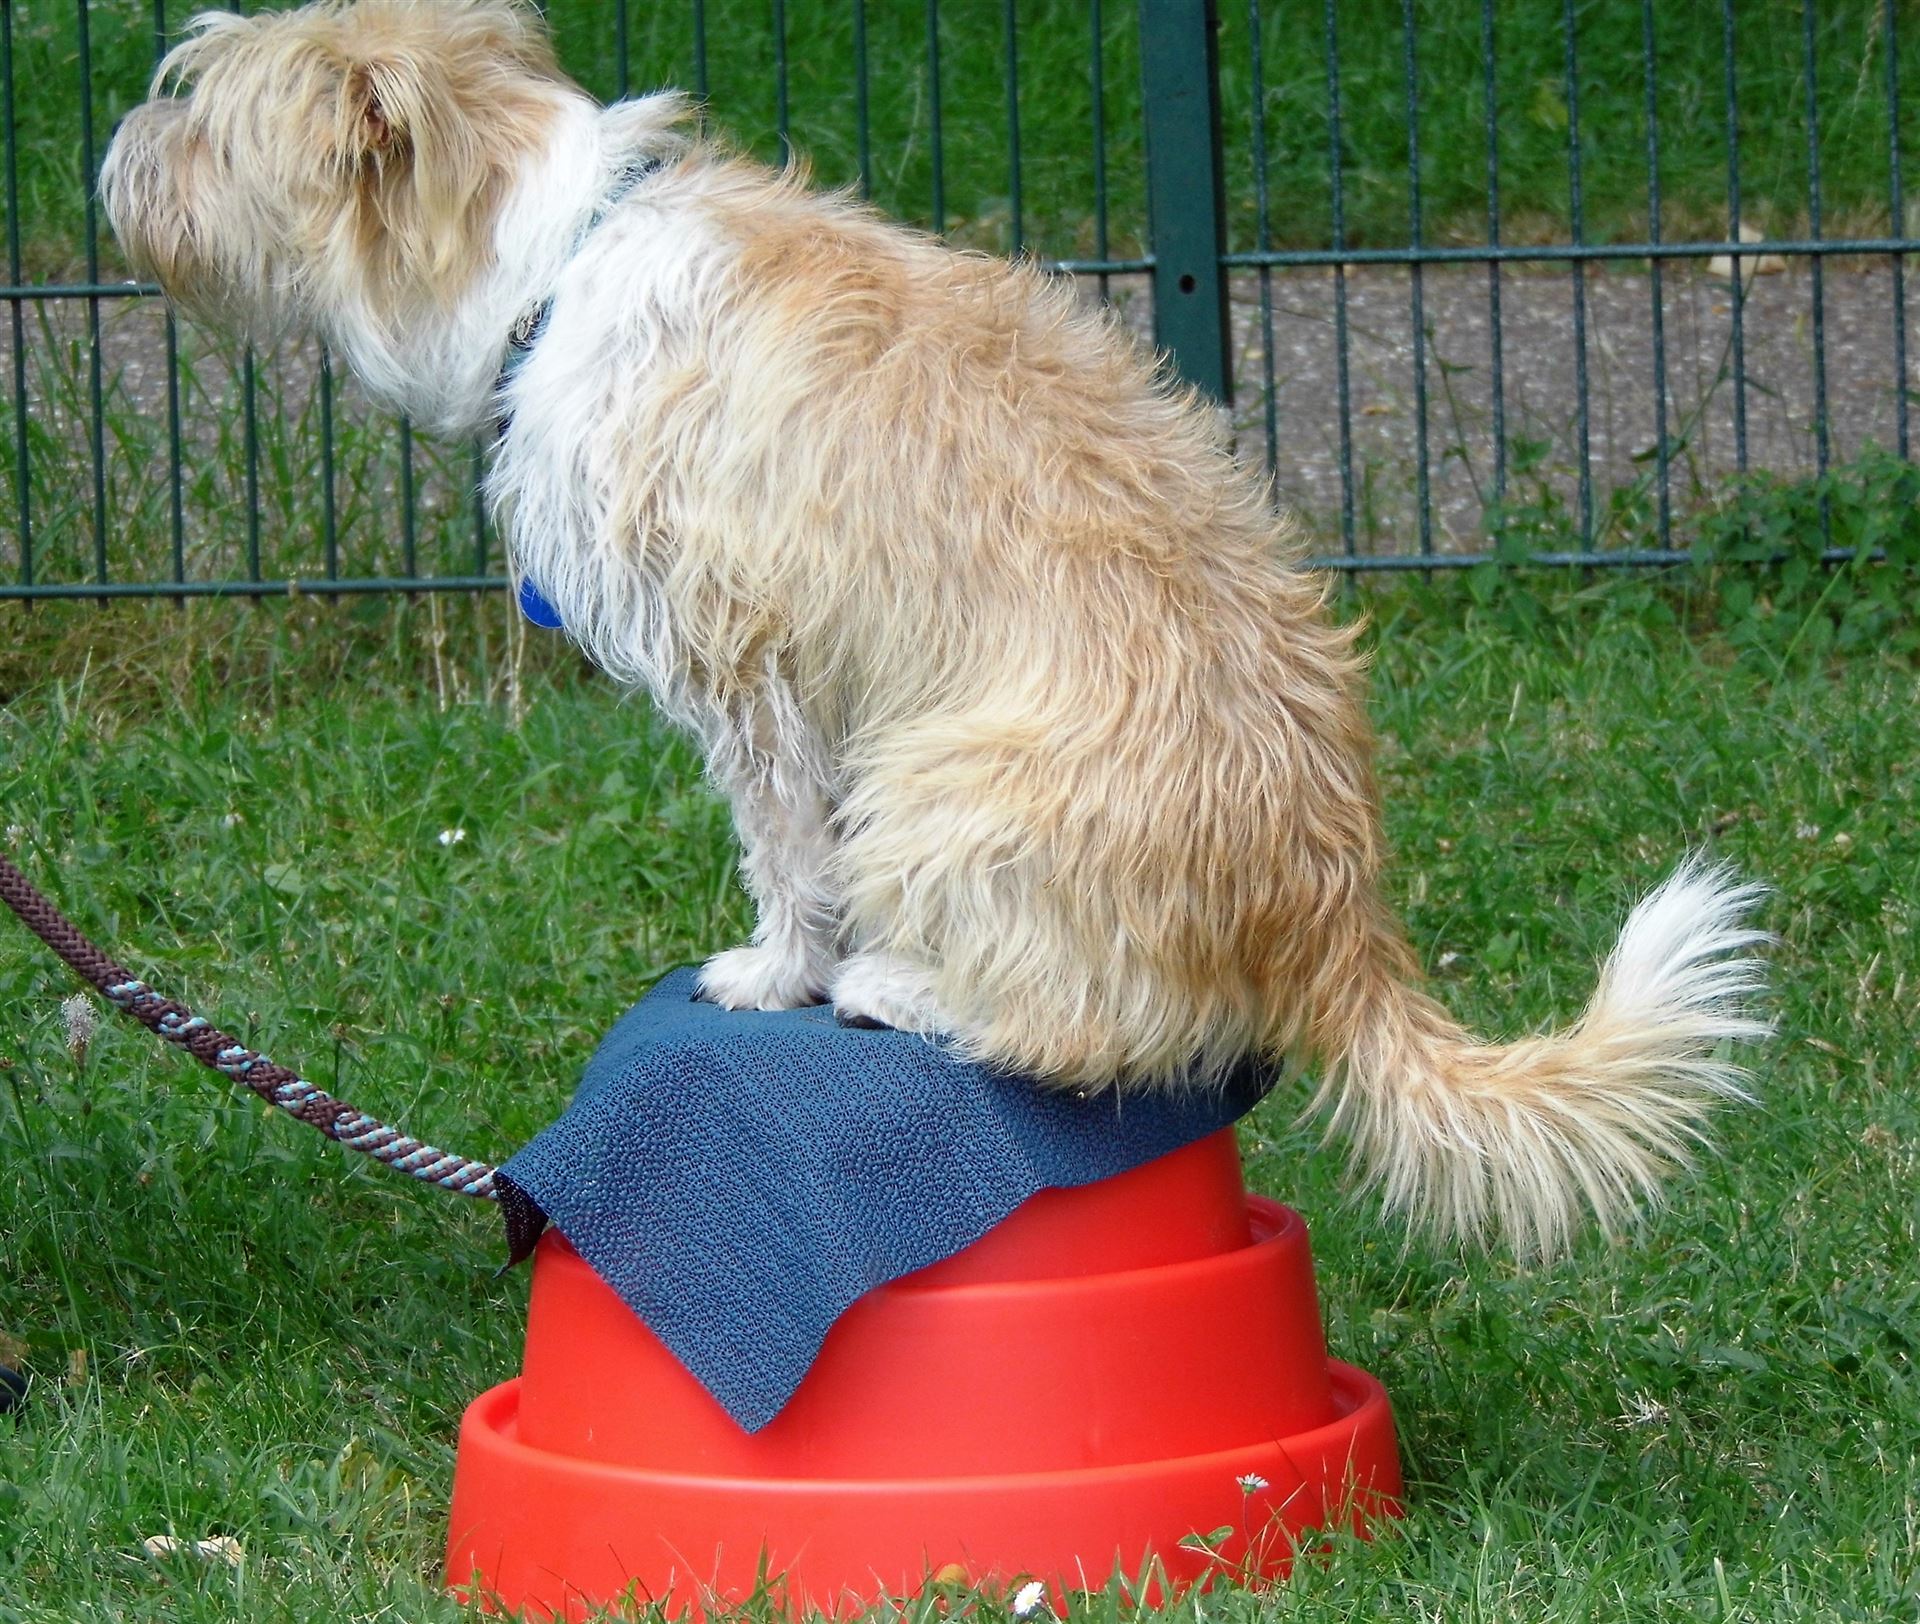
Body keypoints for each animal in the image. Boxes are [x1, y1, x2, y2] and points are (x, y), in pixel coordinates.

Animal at [103, 0, 1767, 1258]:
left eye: (206, 112)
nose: (114, 151)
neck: (551, 270)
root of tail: (1332, 914)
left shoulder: (752, 669)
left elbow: (786, 851)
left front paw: (775, 975)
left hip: (940, 785)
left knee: (1094, 1031)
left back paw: (897, 987)